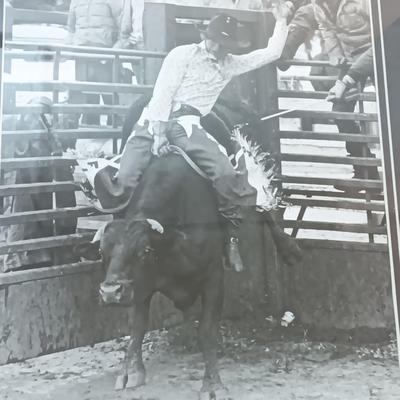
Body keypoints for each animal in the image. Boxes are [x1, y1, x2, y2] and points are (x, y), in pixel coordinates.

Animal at [85, 96, 304, 396]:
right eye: (102, 252)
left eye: (144, 251)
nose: (110, 293)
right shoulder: (141, 282)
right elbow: (137, 325)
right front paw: (130, 371)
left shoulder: (213, 278)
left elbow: (207, 331)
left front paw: (213, 384)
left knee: (262, 208)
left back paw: (288, 248)